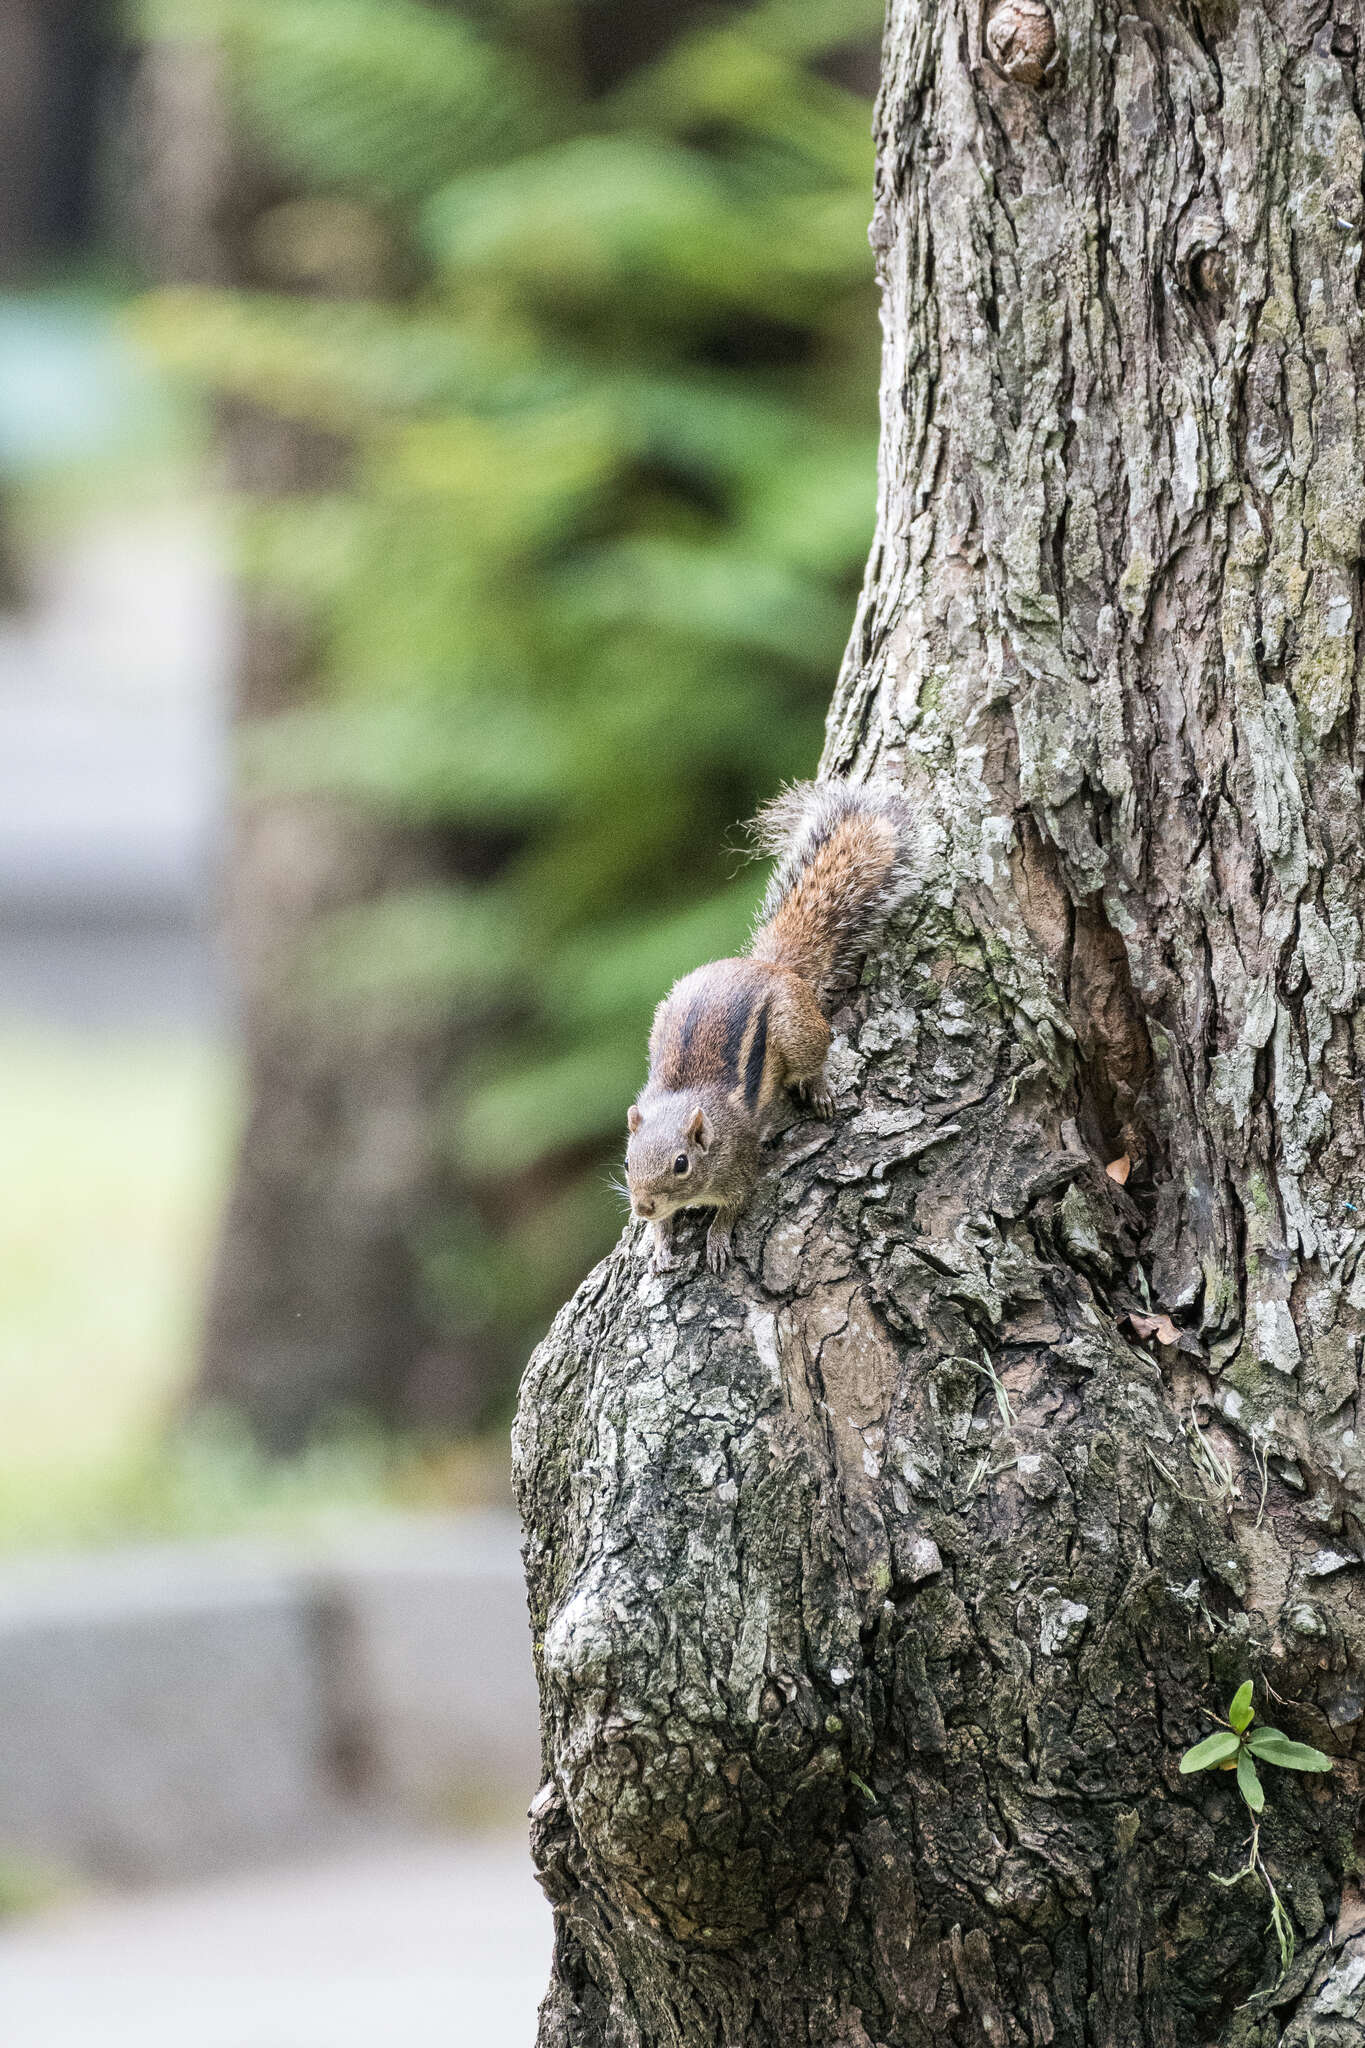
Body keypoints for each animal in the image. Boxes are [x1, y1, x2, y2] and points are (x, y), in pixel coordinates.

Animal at [626, 774, 912, 1269]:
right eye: (626, 1162)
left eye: (681, 1163)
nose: (642, 1206)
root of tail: (773, 967)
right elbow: (666, 1225)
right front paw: (659, 1241)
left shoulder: (741, 1167)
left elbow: (735, 1206)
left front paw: (717, 1240)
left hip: (797, 1030)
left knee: (816, 1054)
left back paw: (818, 1089)